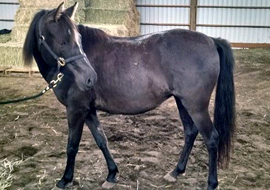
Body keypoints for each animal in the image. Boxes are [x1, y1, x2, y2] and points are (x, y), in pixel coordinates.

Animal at [22, 1, 234, 190]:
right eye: (63, 42)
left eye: (78, 40)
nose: (90, 78)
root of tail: (211, 40)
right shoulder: (88, 111)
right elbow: (102, 141)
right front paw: (111, 174)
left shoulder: (76, 110)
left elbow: (72, 146)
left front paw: (65, 180)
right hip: (183, 103)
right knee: (190, 133)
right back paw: (176, 171)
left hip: (196, 106)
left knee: (211, 138)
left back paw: (211, 183)